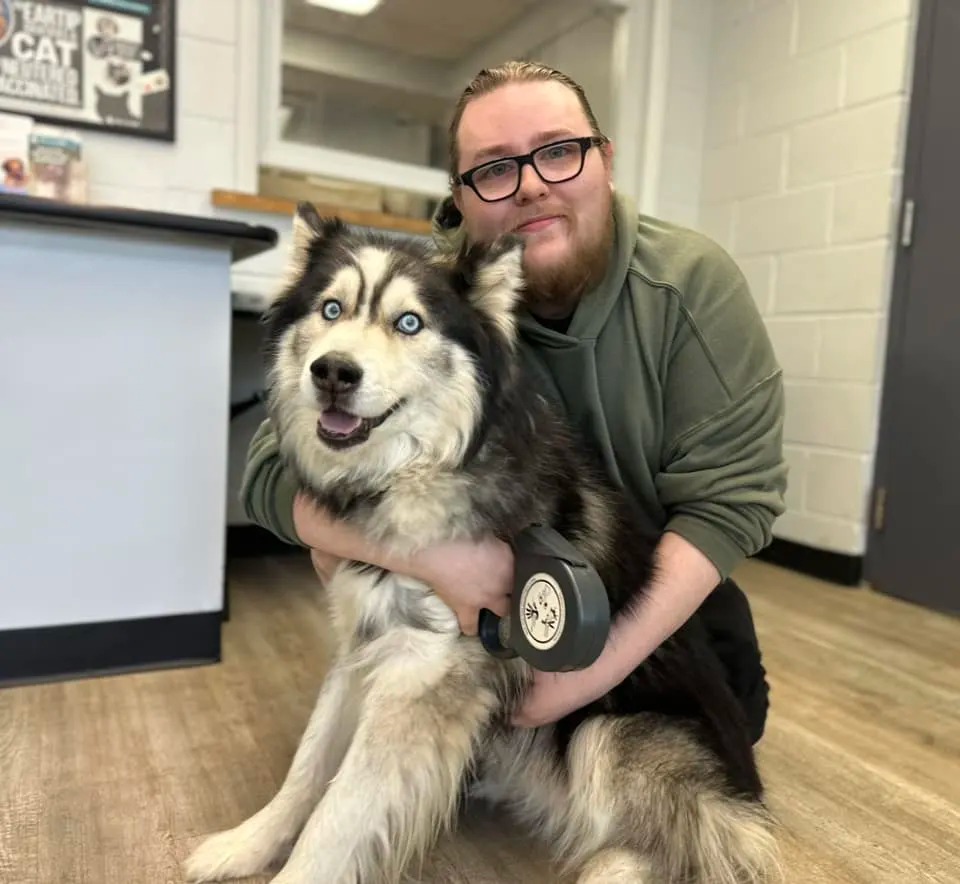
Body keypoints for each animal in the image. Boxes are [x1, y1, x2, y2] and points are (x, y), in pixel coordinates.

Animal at [182, 205, 780, 884]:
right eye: (331, 309)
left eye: (409, 322)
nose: (332, 372)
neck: (413, 471)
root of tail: (751, 792)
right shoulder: (364, 645)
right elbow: (306, 769)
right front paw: (246, 843)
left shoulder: (421, 674)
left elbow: (338, 814)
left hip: (611, 737)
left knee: (665, 853)